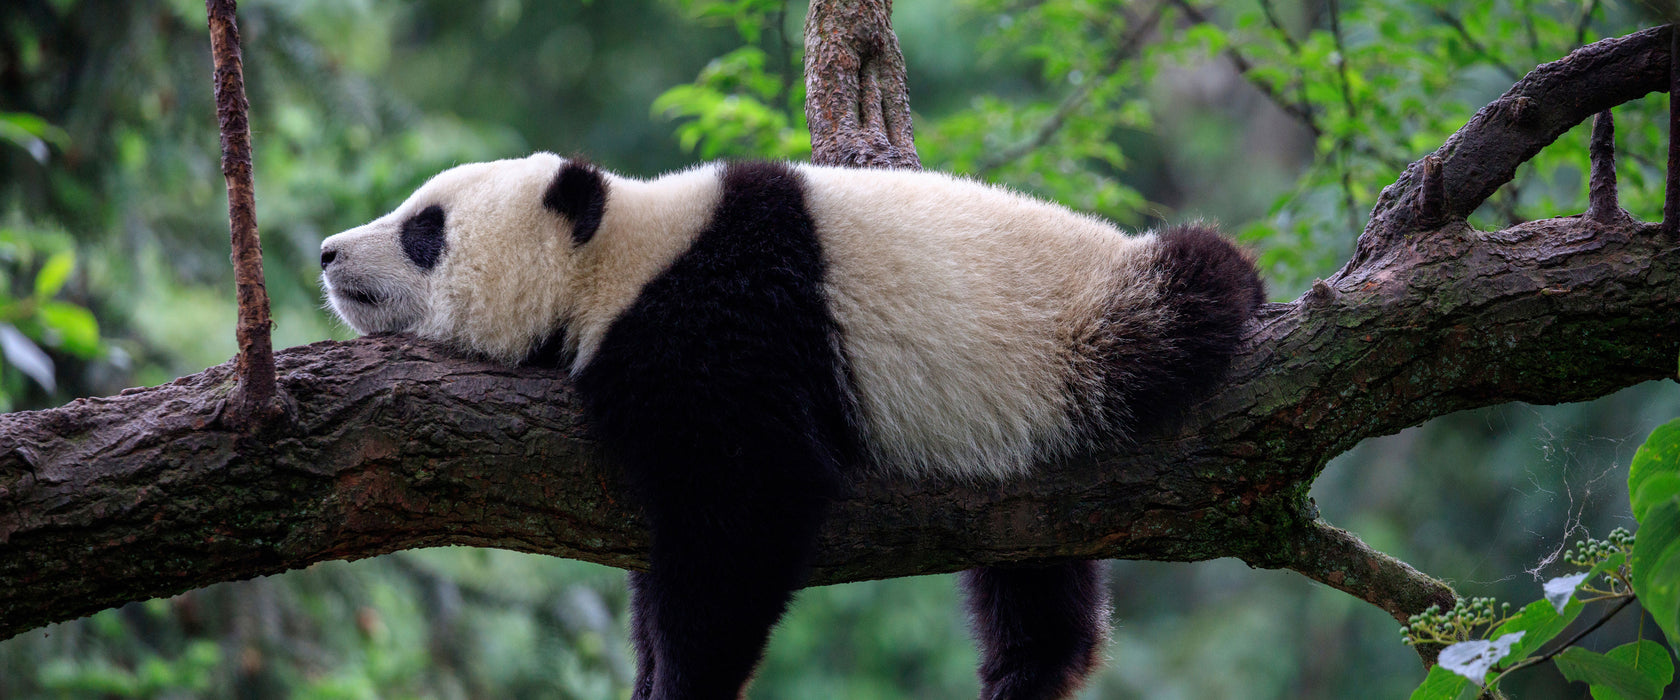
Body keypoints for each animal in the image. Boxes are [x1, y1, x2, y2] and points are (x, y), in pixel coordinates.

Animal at [317, 152, 1263, 698]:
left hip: (1084, 327)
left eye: (424, 229)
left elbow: (748, 505)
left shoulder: (726, 321)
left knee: (1188, 294)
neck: (620, 254)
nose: (327, 252)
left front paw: (682, 684)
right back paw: (1030, 671)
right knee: (1033, 565)